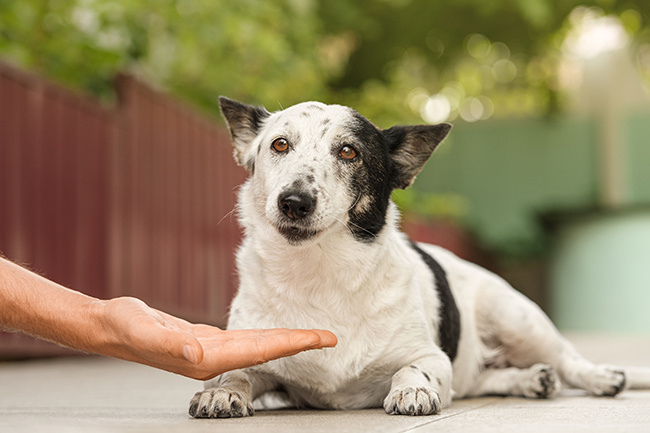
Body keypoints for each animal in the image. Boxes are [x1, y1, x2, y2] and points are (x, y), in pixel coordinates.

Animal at [187, 97, 648, 416]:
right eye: (280, 145)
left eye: (349, 152)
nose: (293, 202)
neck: (320, 272)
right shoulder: (256, 359)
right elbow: (235, 371)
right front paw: (221, 391)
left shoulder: (430, 357)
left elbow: (412, 369)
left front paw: (412, 389)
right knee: (484, 379)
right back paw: (529, 380)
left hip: (516, 318)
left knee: (569, 360)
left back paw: (602, 377)